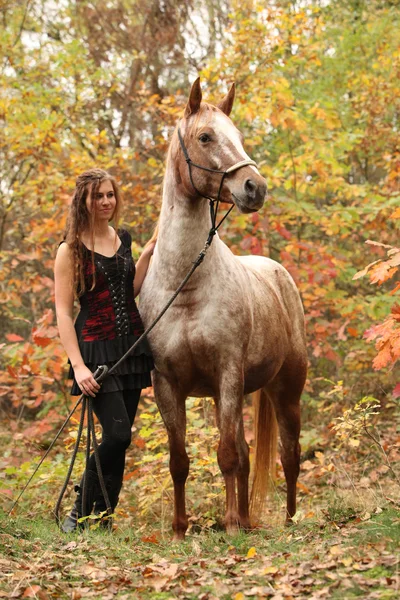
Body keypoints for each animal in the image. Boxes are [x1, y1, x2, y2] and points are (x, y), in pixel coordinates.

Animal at [139, 77, 308, 540]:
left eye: (239, 136)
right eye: (205, 137)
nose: (255, 188)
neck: (187, 286)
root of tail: (278, 273)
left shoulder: (228, 373)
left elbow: (228, 455)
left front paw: (230, 525)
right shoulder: (168, 384)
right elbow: (180, 460)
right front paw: (180, 529)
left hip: (286, 392)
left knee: (289, 454)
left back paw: (286, 521)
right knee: (252, 453)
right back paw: (249, 520)